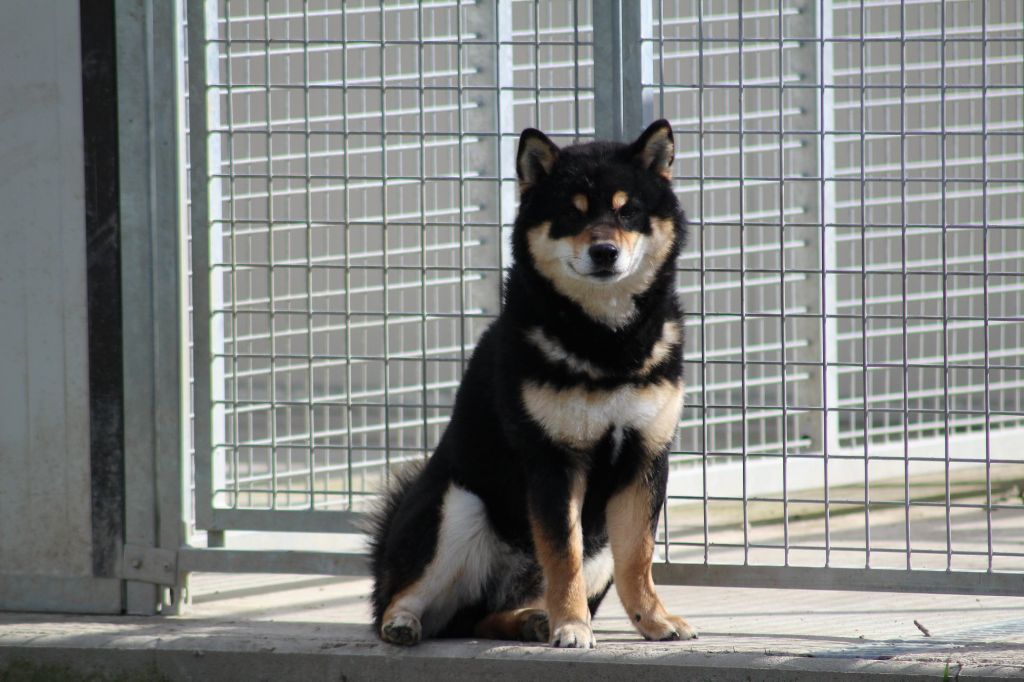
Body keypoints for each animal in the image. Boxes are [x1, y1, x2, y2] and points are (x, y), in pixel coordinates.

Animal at [368, 119, 696, 647]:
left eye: (628, 210)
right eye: (570, 212)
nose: (604, 251)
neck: (606, 344)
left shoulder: (645, 457)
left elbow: (637, 558)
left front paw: (655, 621)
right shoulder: (553, 459)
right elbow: (562, 557)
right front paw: (573, 626)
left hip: (594, 543)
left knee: (482, 618)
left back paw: (530, 620)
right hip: (457, 507)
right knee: (404, 601)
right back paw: (404, 623)